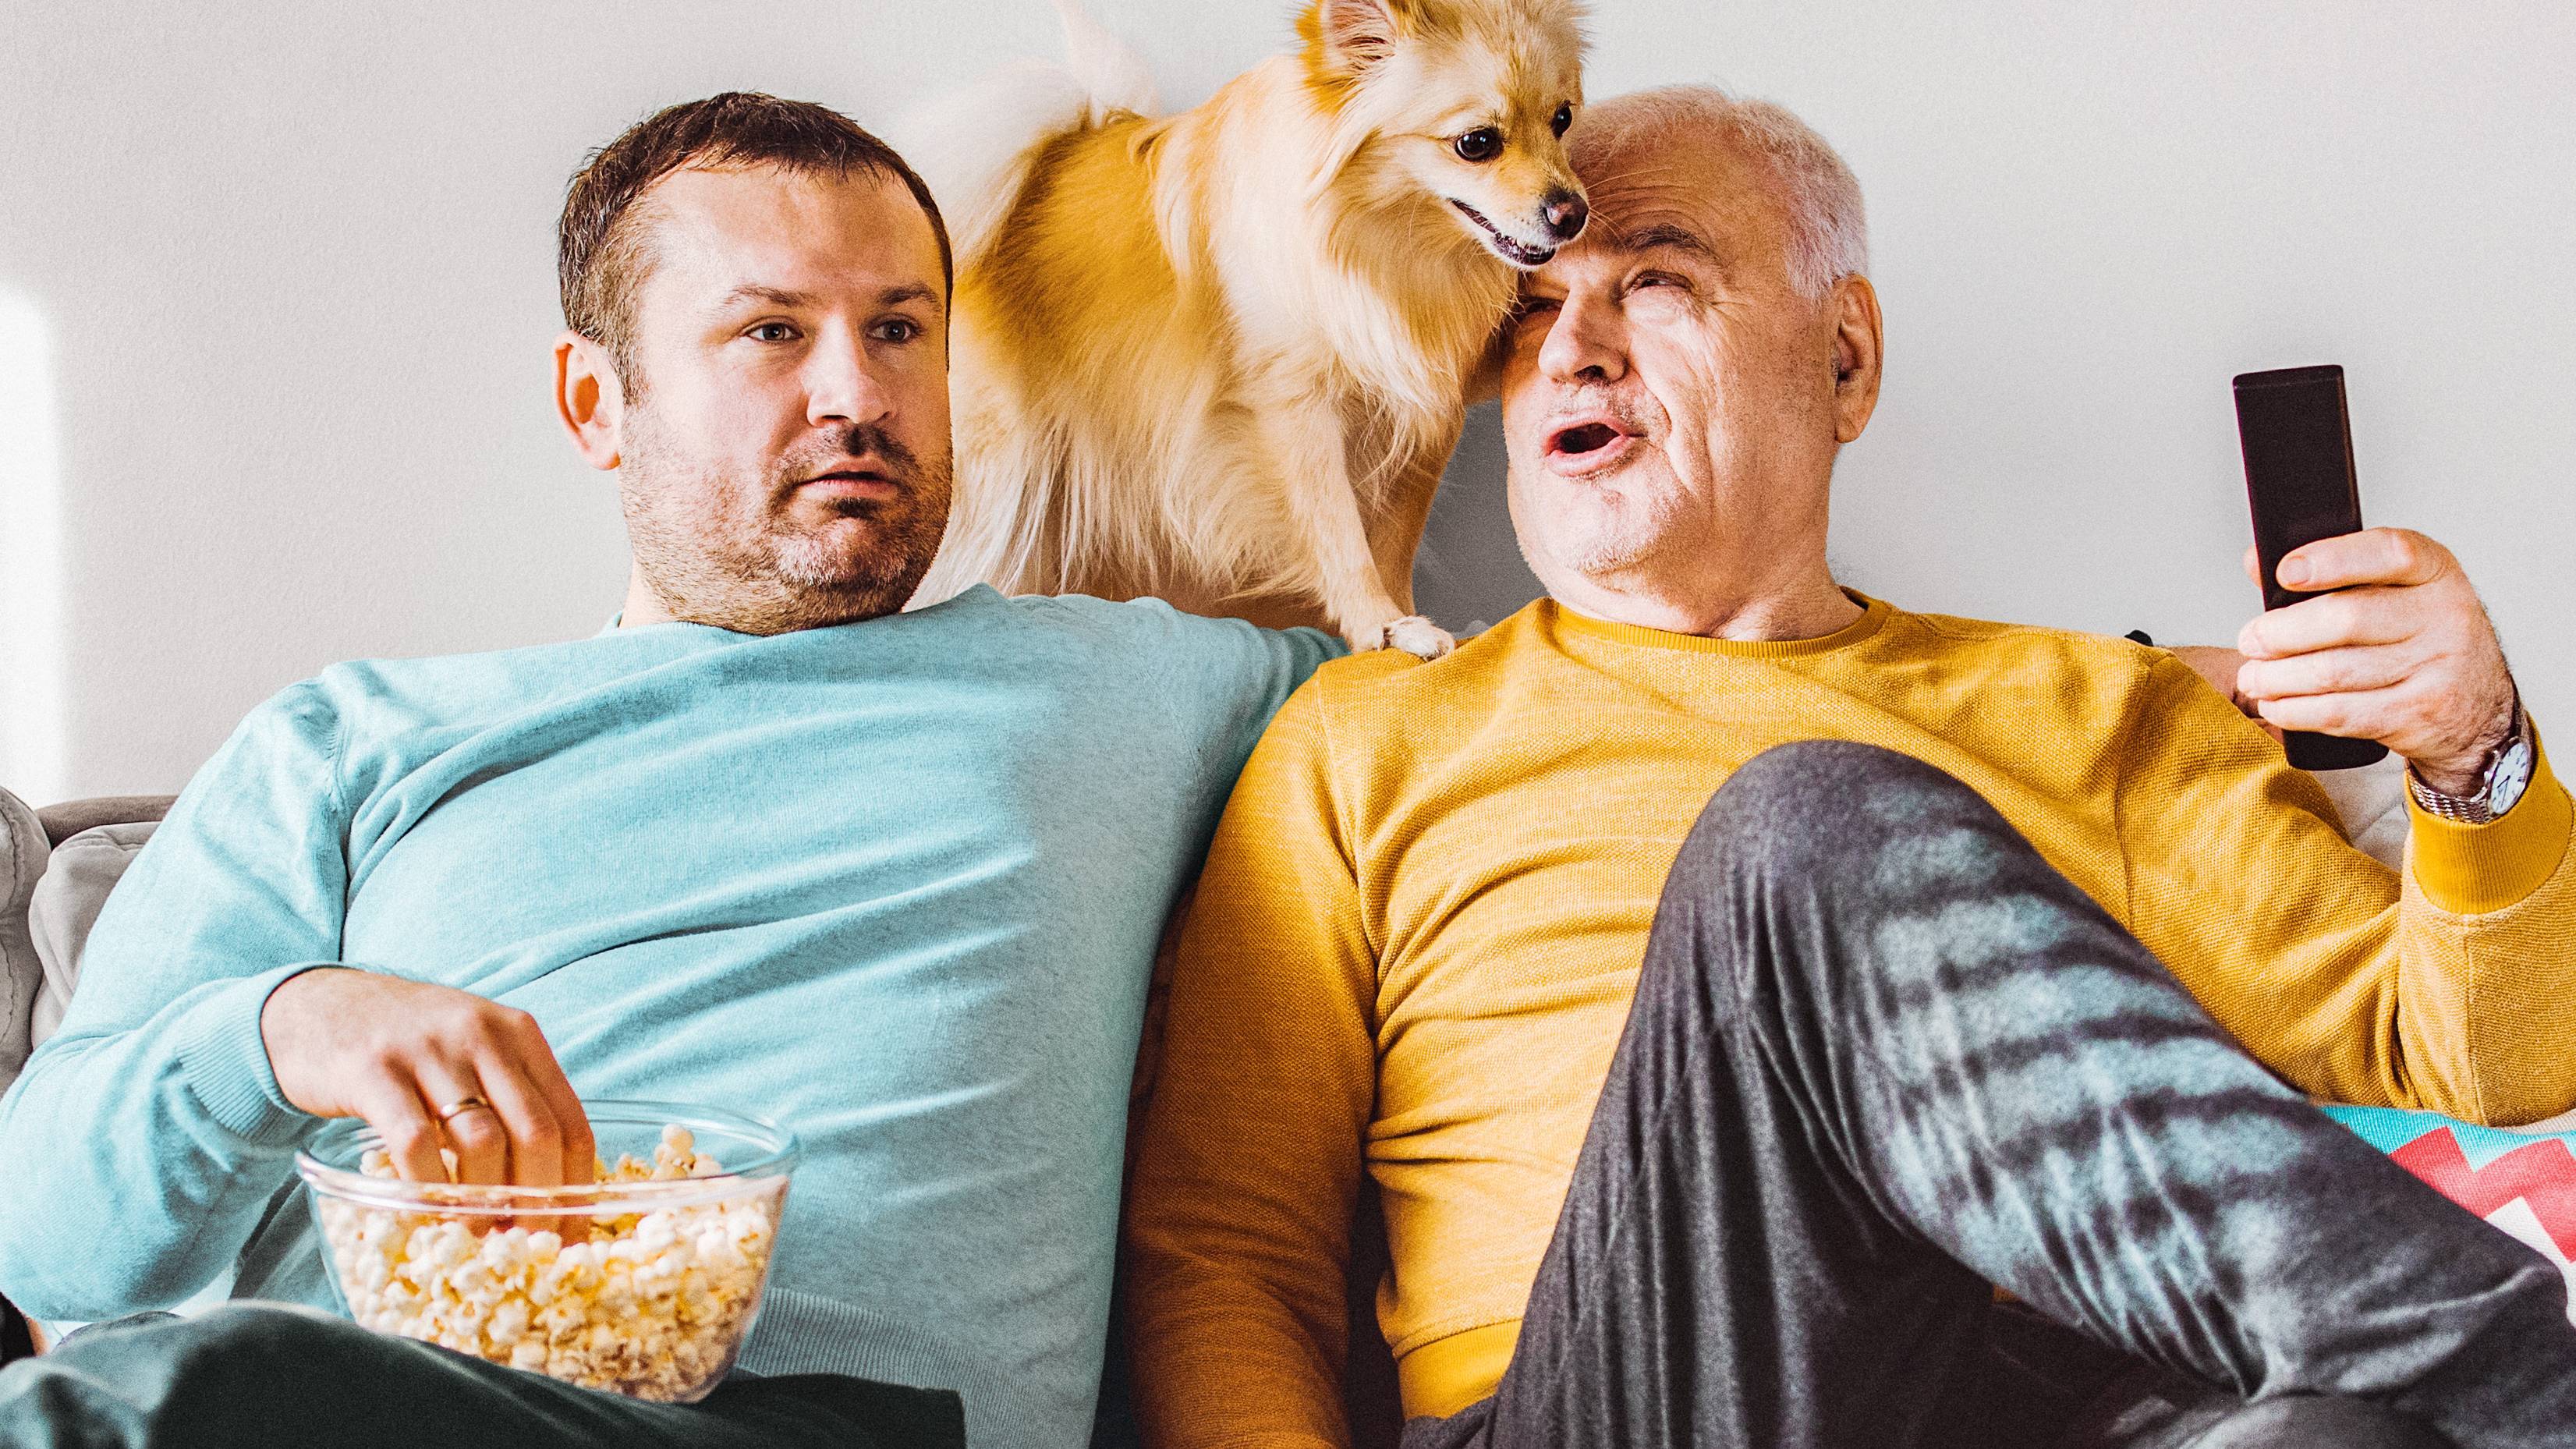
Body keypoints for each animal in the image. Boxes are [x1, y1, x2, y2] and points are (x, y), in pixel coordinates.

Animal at [906, 0, 1586, 650]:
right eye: (1476, 143)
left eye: (1562, 120)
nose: (1572, 212)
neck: (1388, 253)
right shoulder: (1293, 411)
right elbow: (1338, 531)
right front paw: (1382, 627)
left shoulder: (1423, 418)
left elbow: (1393, 543)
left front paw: (1401, 627)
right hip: (999, 457)